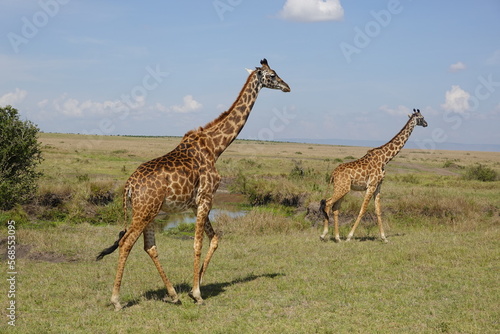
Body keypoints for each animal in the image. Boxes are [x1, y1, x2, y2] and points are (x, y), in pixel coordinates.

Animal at [96, 58, 290, 310]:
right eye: (273, 74)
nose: (287, 86)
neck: (215, 147)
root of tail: (129, 185)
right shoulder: (206, 197)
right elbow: (198, 243)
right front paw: (197, 293)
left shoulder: (196, 202)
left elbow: (214, 239)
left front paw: (194, 286)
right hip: (144, 210)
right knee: (126, 243)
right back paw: (117, 300)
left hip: (150, 211)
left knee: (149, 246)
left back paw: (173, 294)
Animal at [318, 109, 428, 243]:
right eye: (421, 117)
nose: (426, 124)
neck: (385, 159)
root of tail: (333, 174)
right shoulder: (371, 185)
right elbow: (363, 209)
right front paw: (349, 236)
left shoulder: (378, 185)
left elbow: (378, 210)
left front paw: (384, 238)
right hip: (342, 188)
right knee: (328, 203)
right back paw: (324, 234)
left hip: (343, 188)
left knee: (335, 207)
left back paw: (337, 238)